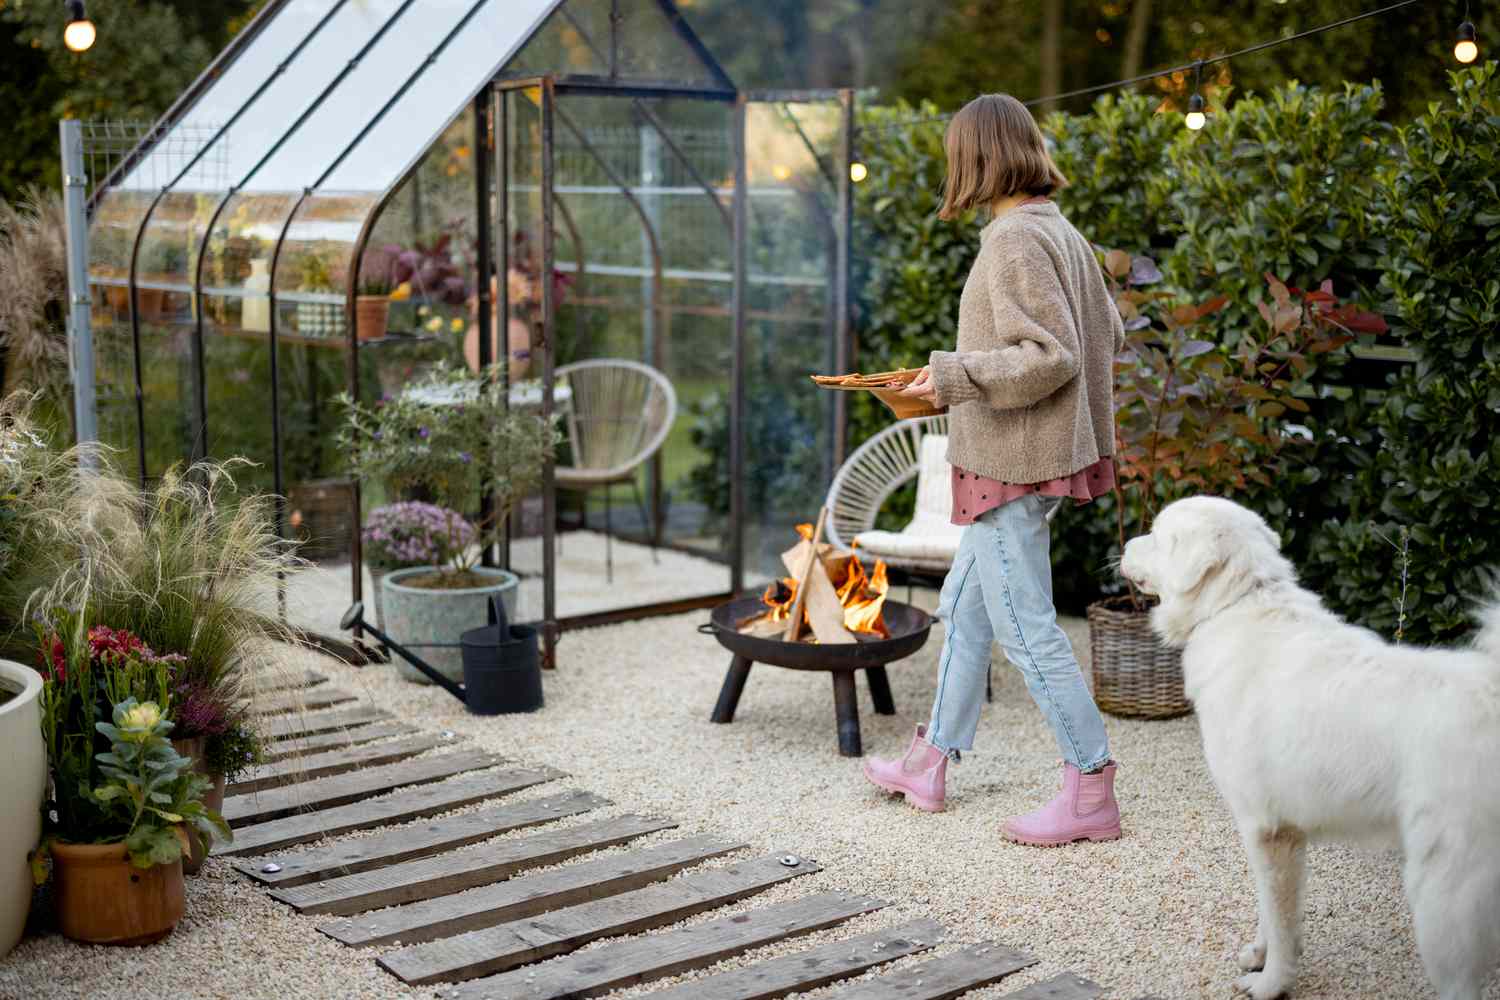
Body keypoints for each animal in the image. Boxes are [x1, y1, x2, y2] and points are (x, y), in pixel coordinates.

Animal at [1122, 497, 1494, 1000]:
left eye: (1158, 536)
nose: (1124, 546)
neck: (1236, 604)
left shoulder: (1268, 831)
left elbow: (1280, 921)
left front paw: (1270, 983)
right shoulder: (1275, 835)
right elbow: (1271, 909)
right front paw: (1260, 956)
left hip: (1442, 900)